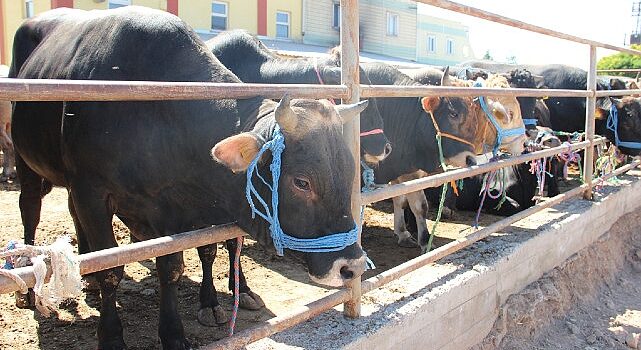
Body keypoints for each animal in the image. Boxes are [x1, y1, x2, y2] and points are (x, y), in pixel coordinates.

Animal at [10, 6, 368, 350]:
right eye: (302, 182)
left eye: (349, 172)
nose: (352, 266)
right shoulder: (93, 192)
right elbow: (111, 268)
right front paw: (111, 336)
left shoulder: (174, 209)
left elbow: (174, 267)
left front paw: (175, 331)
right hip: (27, 163)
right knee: (30, 210)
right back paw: (30, 288)